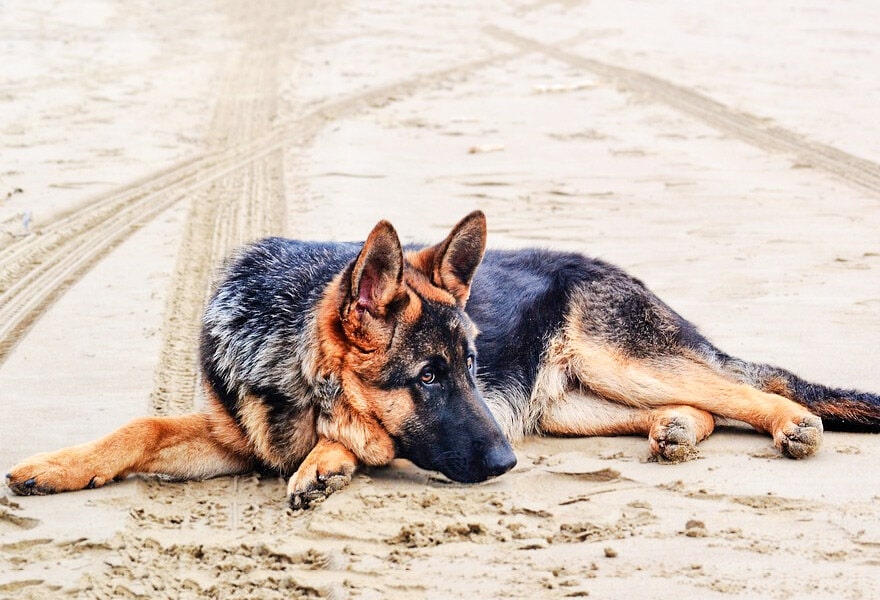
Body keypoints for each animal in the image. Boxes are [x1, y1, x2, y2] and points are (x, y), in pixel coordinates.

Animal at [6, 211, 880, 506]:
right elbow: (142, 427)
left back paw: (792, 425)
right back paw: (675, 433)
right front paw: (57, 466)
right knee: (700, 403)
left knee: (752, 386)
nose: (504, 467)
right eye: (429, 376)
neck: (289, 360)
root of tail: (611, 269)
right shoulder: (231, 436)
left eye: (465, 369)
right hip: (569, 410)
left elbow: (358, 437)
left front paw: (329, 459)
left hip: (621, 362)